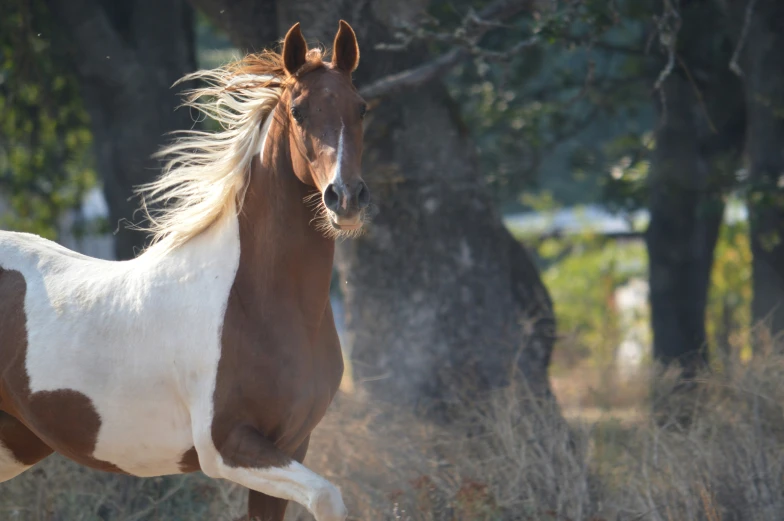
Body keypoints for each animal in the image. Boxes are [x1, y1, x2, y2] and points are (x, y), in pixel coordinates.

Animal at [0, 20, 364, 520]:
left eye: (361, 108)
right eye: (299, 110)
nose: (345, 198)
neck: (252, 303)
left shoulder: (293, 443)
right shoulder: (226, 446)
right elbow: (328, 496)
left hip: (15, 442)